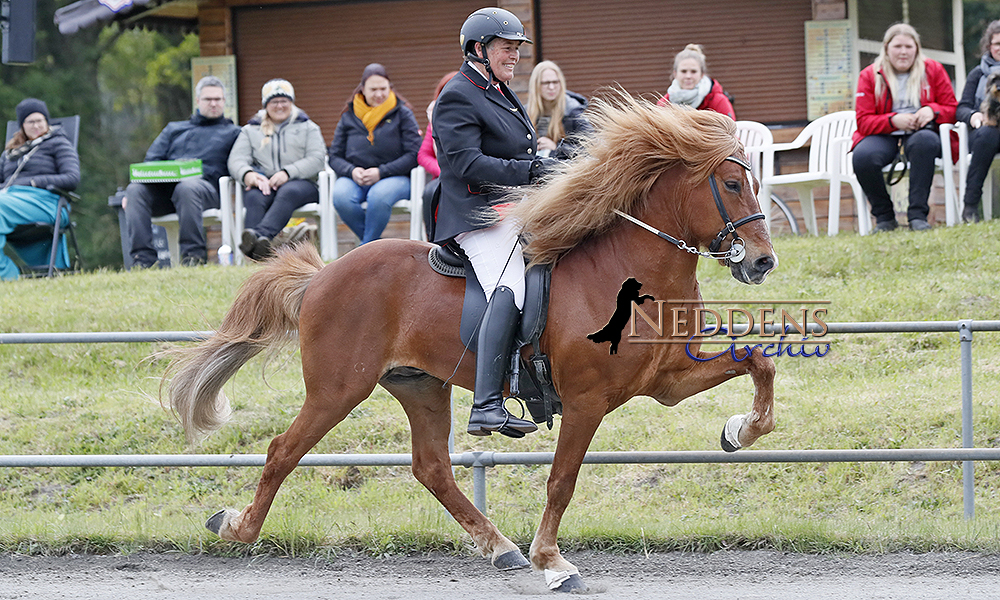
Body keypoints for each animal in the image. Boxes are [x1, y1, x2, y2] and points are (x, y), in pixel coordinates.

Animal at [168, 96, 780, 592]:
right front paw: (553, 563)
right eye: (731, 184)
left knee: (432, 468)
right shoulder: (586, 401)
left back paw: (500, 548)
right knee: (283, 451)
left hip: (420, 386)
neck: (629, 273)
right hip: (337, 390)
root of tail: (320, 277)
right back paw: (238, 527)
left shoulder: (666, 381)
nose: (762, 262)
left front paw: (740, 431)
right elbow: (562, 481)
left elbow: (757, 361)